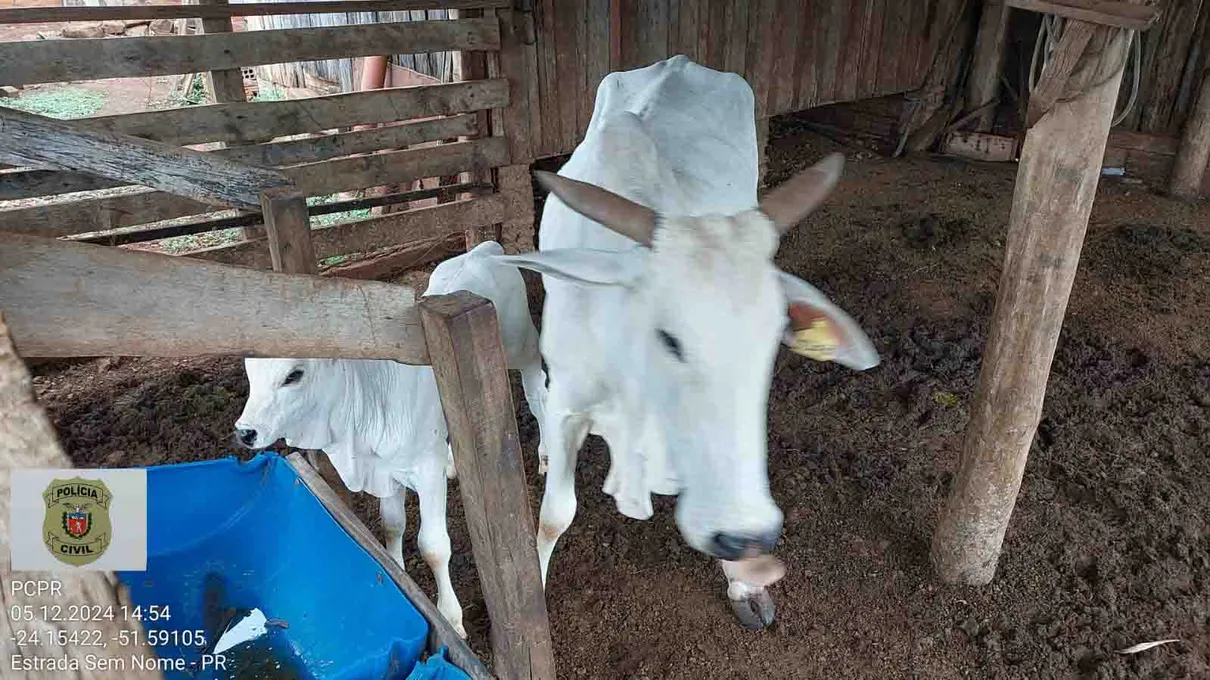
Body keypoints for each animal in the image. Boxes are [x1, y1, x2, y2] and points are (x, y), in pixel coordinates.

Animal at [229, 240, 549, 638]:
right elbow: (392, 525)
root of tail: (484, 249)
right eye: (250, 371)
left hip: (523, 346)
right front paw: (396, 571)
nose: (245, 431)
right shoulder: (387, 472)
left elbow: (433, 545)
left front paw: (451, 617)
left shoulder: (424, 474)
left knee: (538, 393)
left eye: (294, 375)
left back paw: (546, 453)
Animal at [491, 55, 880, 629]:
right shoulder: (567, 405)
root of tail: (679, 61)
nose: (750, 535)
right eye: (669, 338)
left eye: (772, 341)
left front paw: (746, 581)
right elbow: (555, 516)